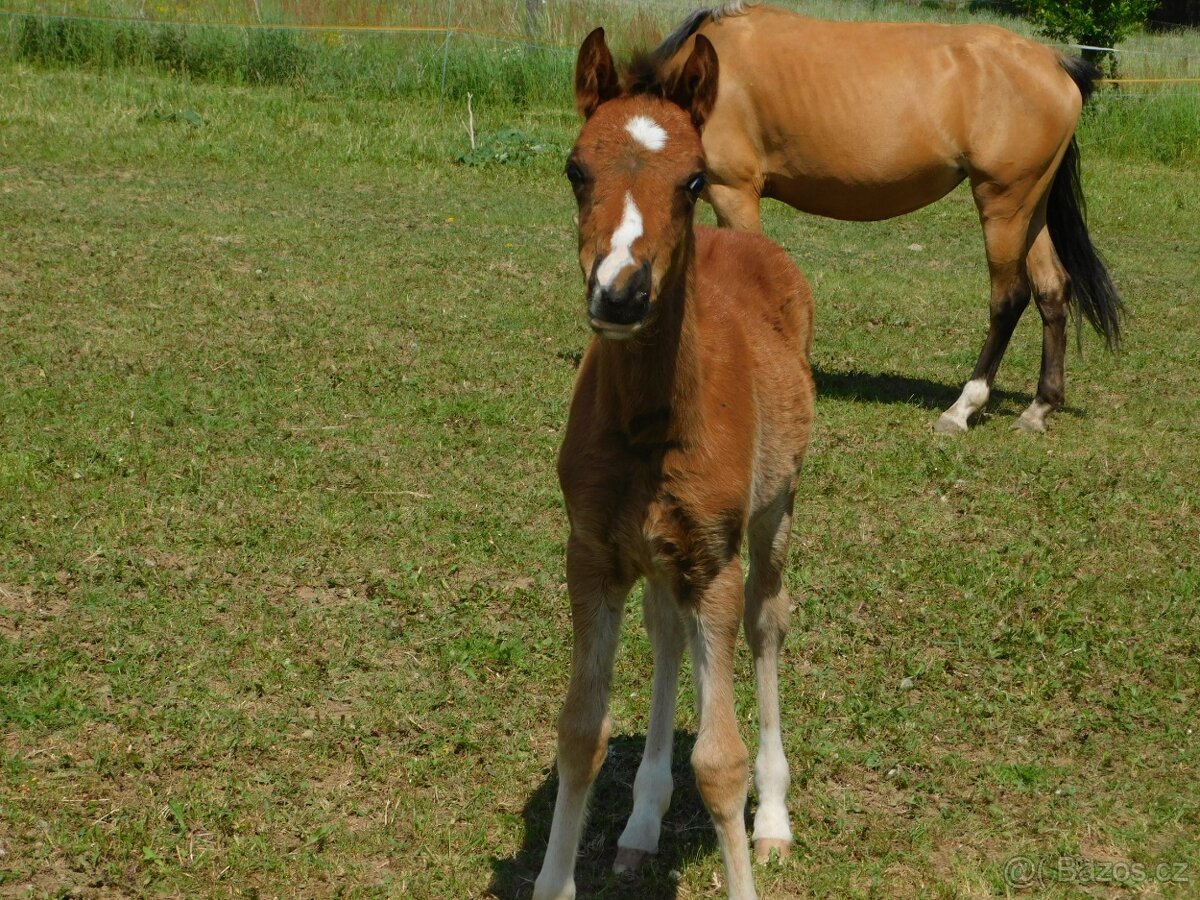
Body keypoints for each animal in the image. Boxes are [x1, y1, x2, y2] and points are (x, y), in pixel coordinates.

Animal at [532, 28, 815, 900]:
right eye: (574, 168)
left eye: (692, 179)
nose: (620, 294)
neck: (650, 423)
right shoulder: (591, 552)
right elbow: (579, 733)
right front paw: (559, 876)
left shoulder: (713, 557)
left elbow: (719, 763)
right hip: (659, 552)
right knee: (666, 634)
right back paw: (641, 824)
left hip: (771, 512)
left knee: (765, 623)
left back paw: (776, 819)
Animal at [651, 2, 1124, 434]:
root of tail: (1056, 63)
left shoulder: (732, 193)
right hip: (1031, 207)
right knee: (1052, 290)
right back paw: (1038, 408)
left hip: (1003, 204)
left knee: (1009, 298)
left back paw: (962, 409)